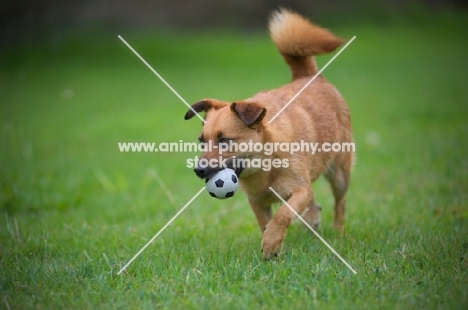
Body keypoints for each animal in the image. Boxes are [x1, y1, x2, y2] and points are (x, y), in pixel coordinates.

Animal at [185, 8, 352, 260]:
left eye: (225, 141)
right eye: (201, 142)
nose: (198, 170)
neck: (266, 164)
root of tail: (308, 76)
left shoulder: (299, 190)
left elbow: (283, 214)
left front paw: (272, 244)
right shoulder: (257, 201)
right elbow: (266, 222)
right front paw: (269, 244)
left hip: (340, 174)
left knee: (339, 203)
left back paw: (338, 232)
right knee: (314, 201)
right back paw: (312, 219)